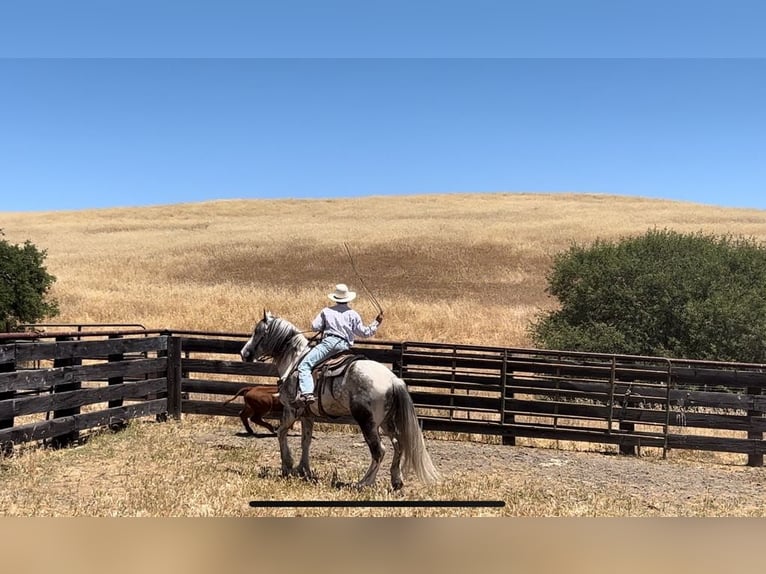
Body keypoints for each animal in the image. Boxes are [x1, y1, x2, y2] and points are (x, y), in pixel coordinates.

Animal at [243, 310, 440, 490]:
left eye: (257, 331)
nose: (244, 353)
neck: (295, 361)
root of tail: (393, 380)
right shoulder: (307, 415)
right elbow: (306, 441)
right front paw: (303, 470)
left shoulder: (292, 410)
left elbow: (281, 433)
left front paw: (287, 466)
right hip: (386, 421)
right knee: (398, 445)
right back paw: (396, 481)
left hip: (368, 422)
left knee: (379, 451)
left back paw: (363, 483)